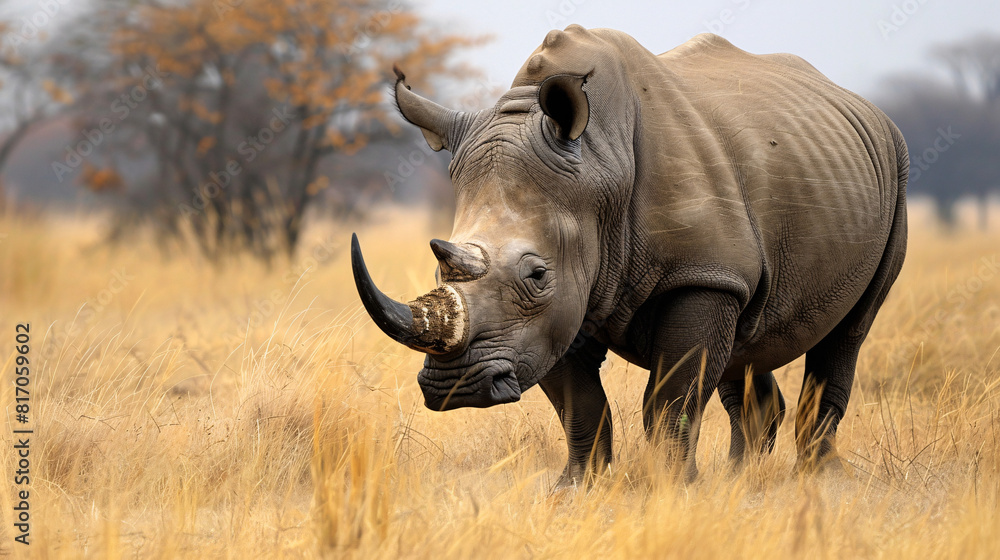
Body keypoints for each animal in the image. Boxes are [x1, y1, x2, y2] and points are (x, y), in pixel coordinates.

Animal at [351, 27, 908, 484]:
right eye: (438, 265)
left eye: (536, 274)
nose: (455, 386)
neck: (600, 166)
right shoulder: (558, 312)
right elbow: (580, 406)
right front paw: (577, 490)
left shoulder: (698, 275)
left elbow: (671, 398)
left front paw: (672, 490)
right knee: (748, 336)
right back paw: (740, 481)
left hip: (895, 170)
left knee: (850, 331)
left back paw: (819, 481)